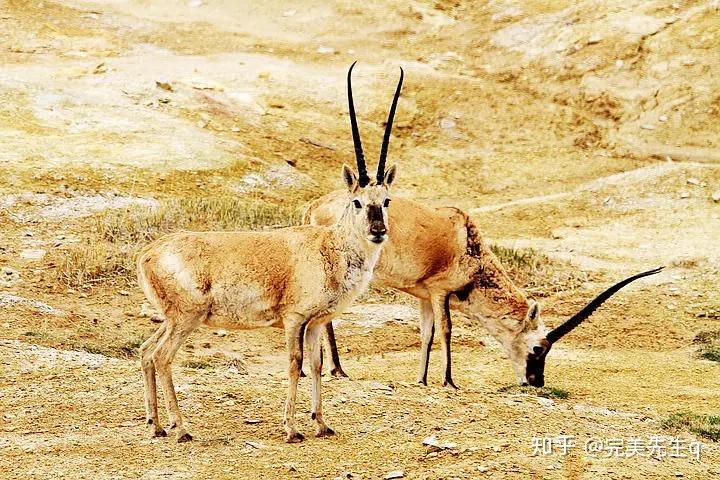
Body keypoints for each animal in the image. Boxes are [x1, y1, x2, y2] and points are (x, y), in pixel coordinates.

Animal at [136, 62, 404, 442]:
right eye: (357, 201)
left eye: (386, 200)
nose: (378, 231)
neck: (328, 248)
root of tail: (148, 254)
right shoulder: (294, 320)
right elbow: (294, 365)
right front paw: (292, 429)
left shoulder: (316, 323)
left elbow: (316, 365)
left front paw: (321, 423)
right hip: (186, 319)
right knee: (161, 357)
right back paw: (182, 429)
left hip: (173, 318)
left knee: (146, 352)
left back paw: (157, 425)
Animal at [304, 193, 664, 388]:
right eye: (538, 348)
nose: (536, 381)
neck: (467, 241)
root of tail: (314, 207)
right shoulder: (440, 292)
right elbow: (446, 331)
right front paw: (448, 381)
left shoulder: (424, 296)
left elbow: (426, 334)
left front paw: (422, 379)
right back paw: (335, 369)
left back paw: (334, 369)